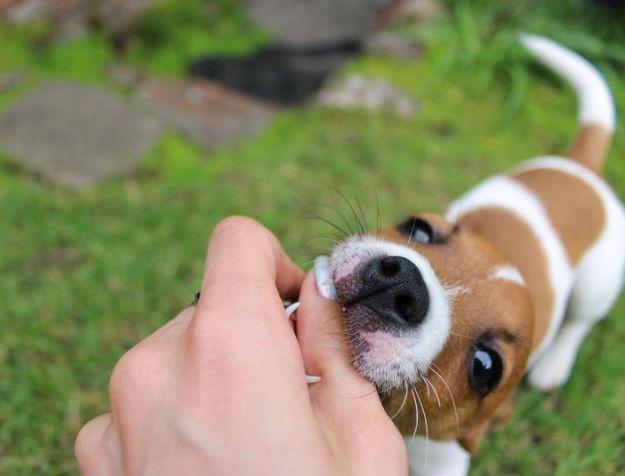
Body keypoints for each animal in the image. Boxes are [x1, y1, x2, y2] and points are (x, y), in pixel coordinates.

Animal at [314, 34, 624, 476]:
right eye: (419, 229)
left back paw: (554, 365)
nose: (403, 283)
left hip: (597, 283)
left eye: (485, 367)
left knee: (579, 321)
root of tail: (581, 168)